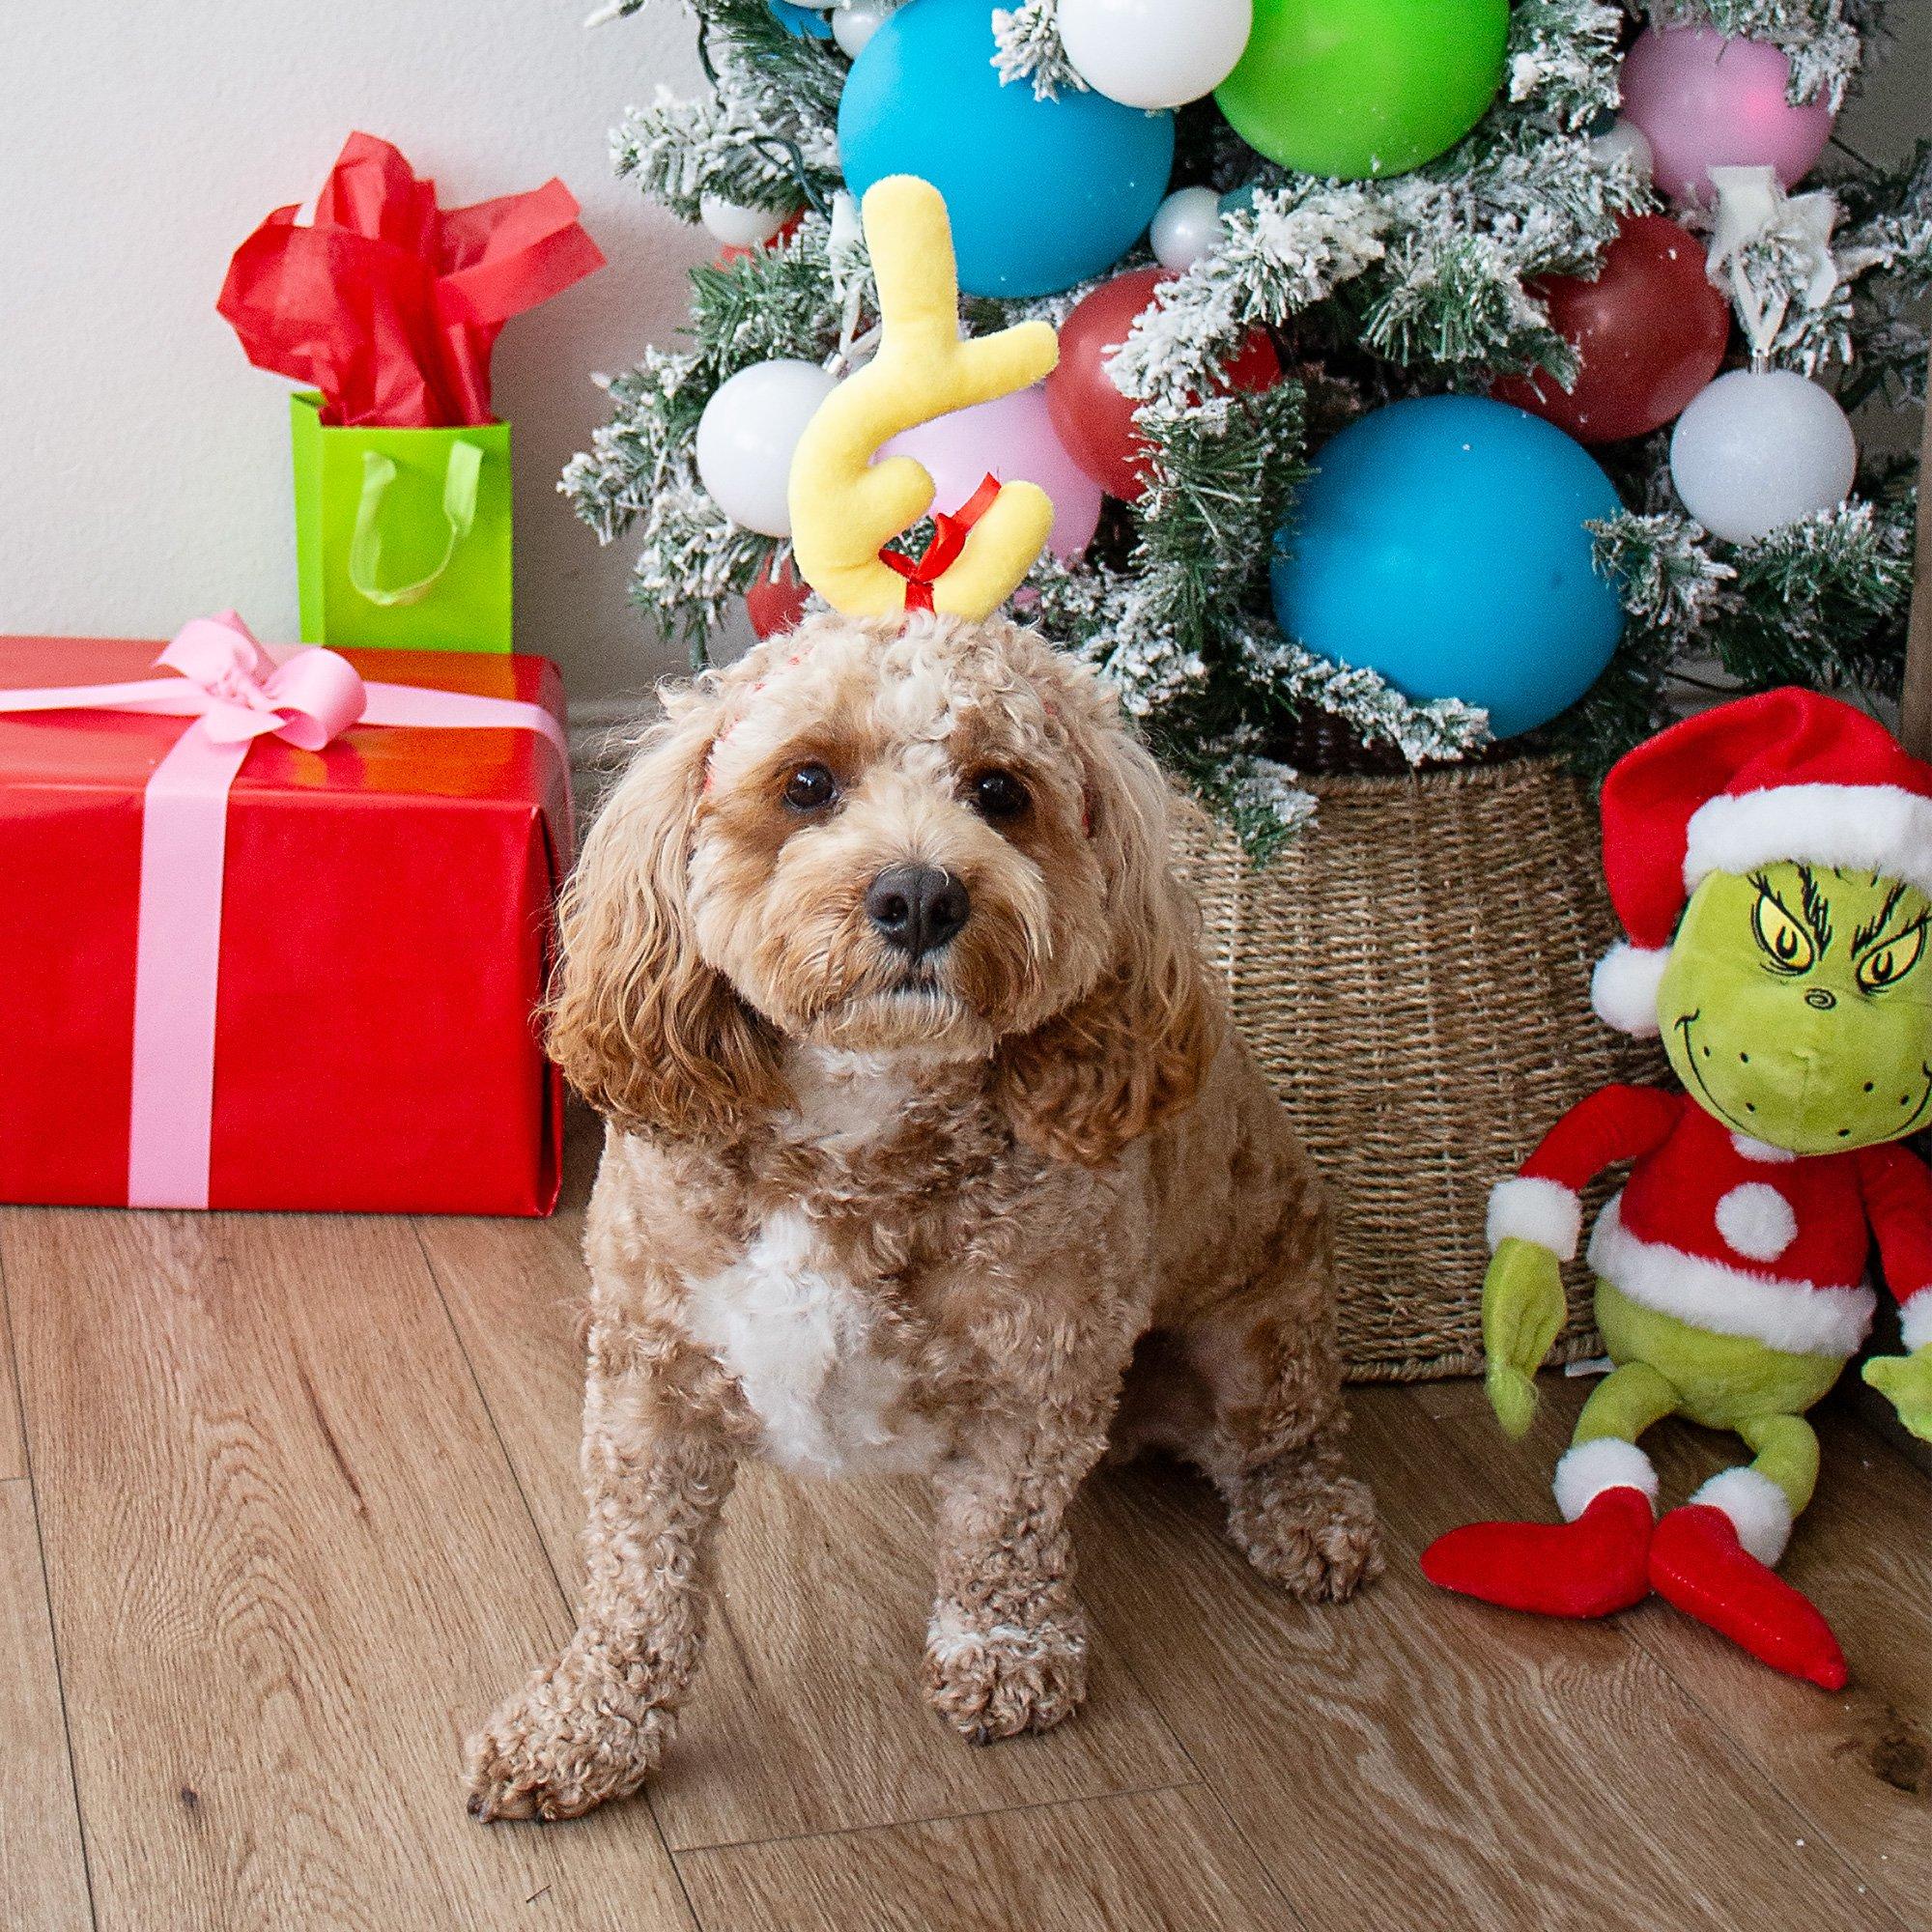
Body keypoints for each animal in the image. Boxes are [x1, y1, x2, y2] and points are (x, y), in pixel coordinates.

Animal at [464, 611, 1376, 1816]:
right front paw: (584, 1721)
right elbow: (635, 1581)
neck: (859, 1112)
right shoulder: (649, 1379)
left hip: (1257, 1333)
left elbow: (999, 1531)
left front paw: (1001, 1653)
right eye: (806, 781)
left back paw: (1312, 1518)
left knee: (1289, 1436)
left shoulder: (1040, 1375)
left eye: (1000, 789)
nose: (919, 896)